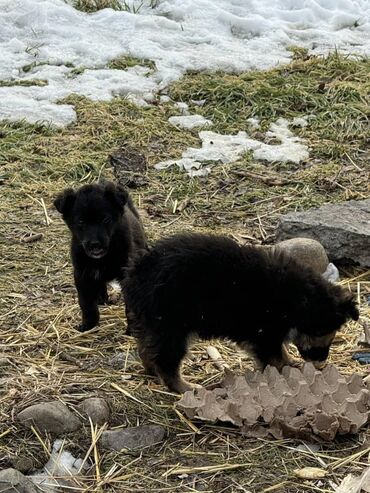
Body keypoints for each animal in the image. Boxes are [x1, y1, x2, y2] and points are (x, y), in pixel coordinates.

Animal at [54, 181, 147, 330]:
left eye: (106, 219)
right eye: (81, 222)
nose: (95, 245)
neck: (103, 258)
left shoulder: (127, 273)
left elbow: (130, 306)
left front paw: (132, 330)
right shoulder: (82, 274)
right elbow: (86, 304)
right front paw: (88, 326)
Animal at [124, 234, 358, 392]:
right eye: (319, 332)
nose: (320, 361)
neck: (297, 298)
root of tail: (138, 271)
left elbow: (281, 350)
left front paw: (292, 362)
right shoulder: (264, 333)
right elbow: (275, 358)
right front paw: (287, 371)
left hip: (156, 324)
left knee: (147, 349)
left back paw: (152, 370)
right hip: (173, 327)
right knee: (167, 362)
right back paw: (187, 387)